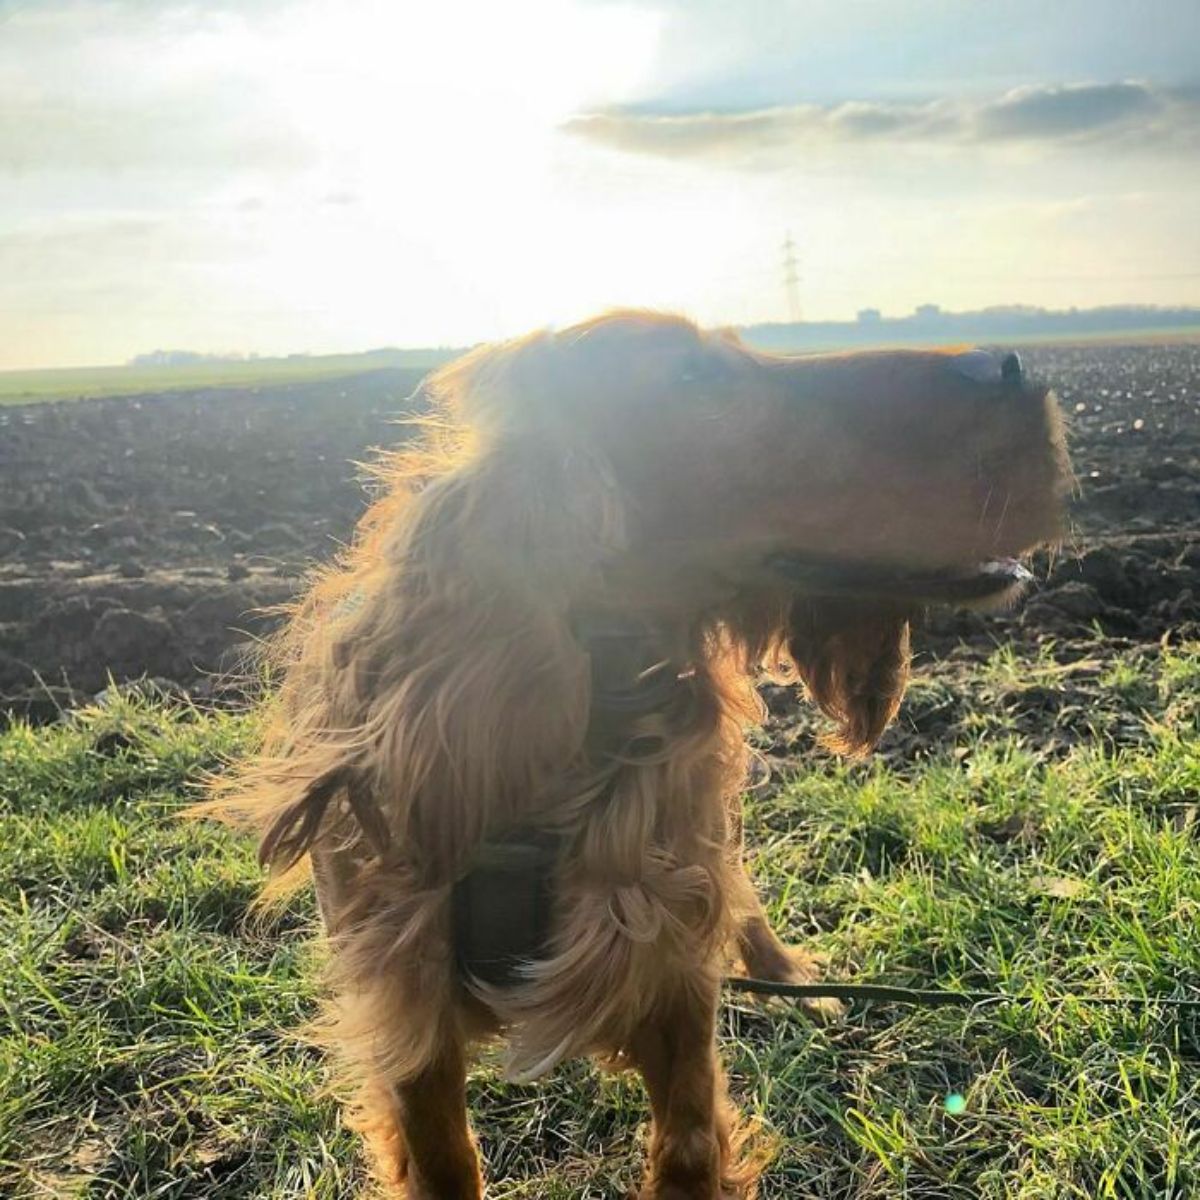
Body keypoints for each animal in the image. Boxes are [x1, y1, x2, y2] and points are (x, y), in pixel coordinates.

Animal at [206, 314, 1070, 1195]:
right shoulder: (406, 1007)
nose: (1011, 362)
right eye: (692, 378)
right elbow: (446, 1162)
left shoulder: (670, 967)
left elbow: (688, 1143)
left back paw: (794, 982)